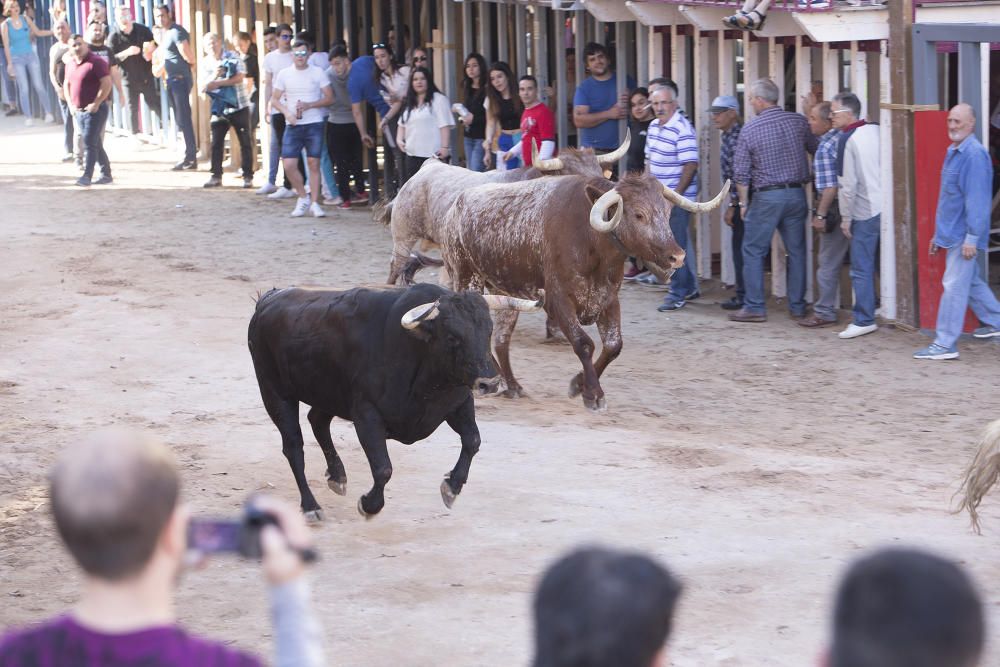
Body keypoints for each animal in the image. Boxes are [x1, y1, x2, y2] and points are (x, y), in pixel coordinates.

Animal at [430, 172, 728, 412]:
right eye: (639, 214)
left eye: (666, 213)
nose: (677, 256)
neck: (589, 240)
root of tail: (454, 207)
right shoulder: (558, 301)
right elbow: (584, 344)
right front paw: (592, 394)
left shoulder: (608, 301)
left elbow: (613, 346)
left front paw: (579, 384)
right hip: (467, 278)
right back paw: (488, 382)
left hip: (506, 292)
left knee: (502, 339)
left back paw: (511, 384)